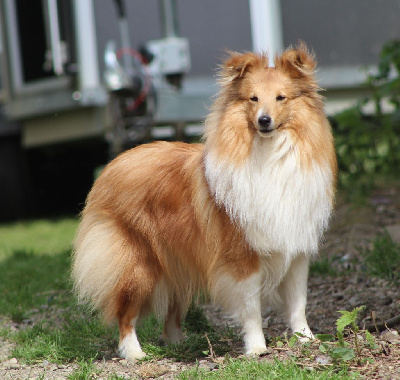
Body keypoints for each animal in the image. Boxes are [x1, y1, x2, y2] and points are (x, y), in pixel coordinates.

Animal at [72, 43, 338, 360]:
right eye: (253, 98)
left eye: (281, 97)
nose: (264, 120)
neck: (270, 155)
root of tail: (113, 165)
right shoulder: (241, 257)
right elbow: (251, 308)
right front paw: (257, 348)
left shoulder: (295, 250)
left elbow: (298, 303)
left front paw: (307, 339)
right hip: (137, 265)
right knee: (125, 313)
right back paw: (134, 353)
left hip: (176, 260)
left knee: (171, 310)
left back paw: (178, 343)